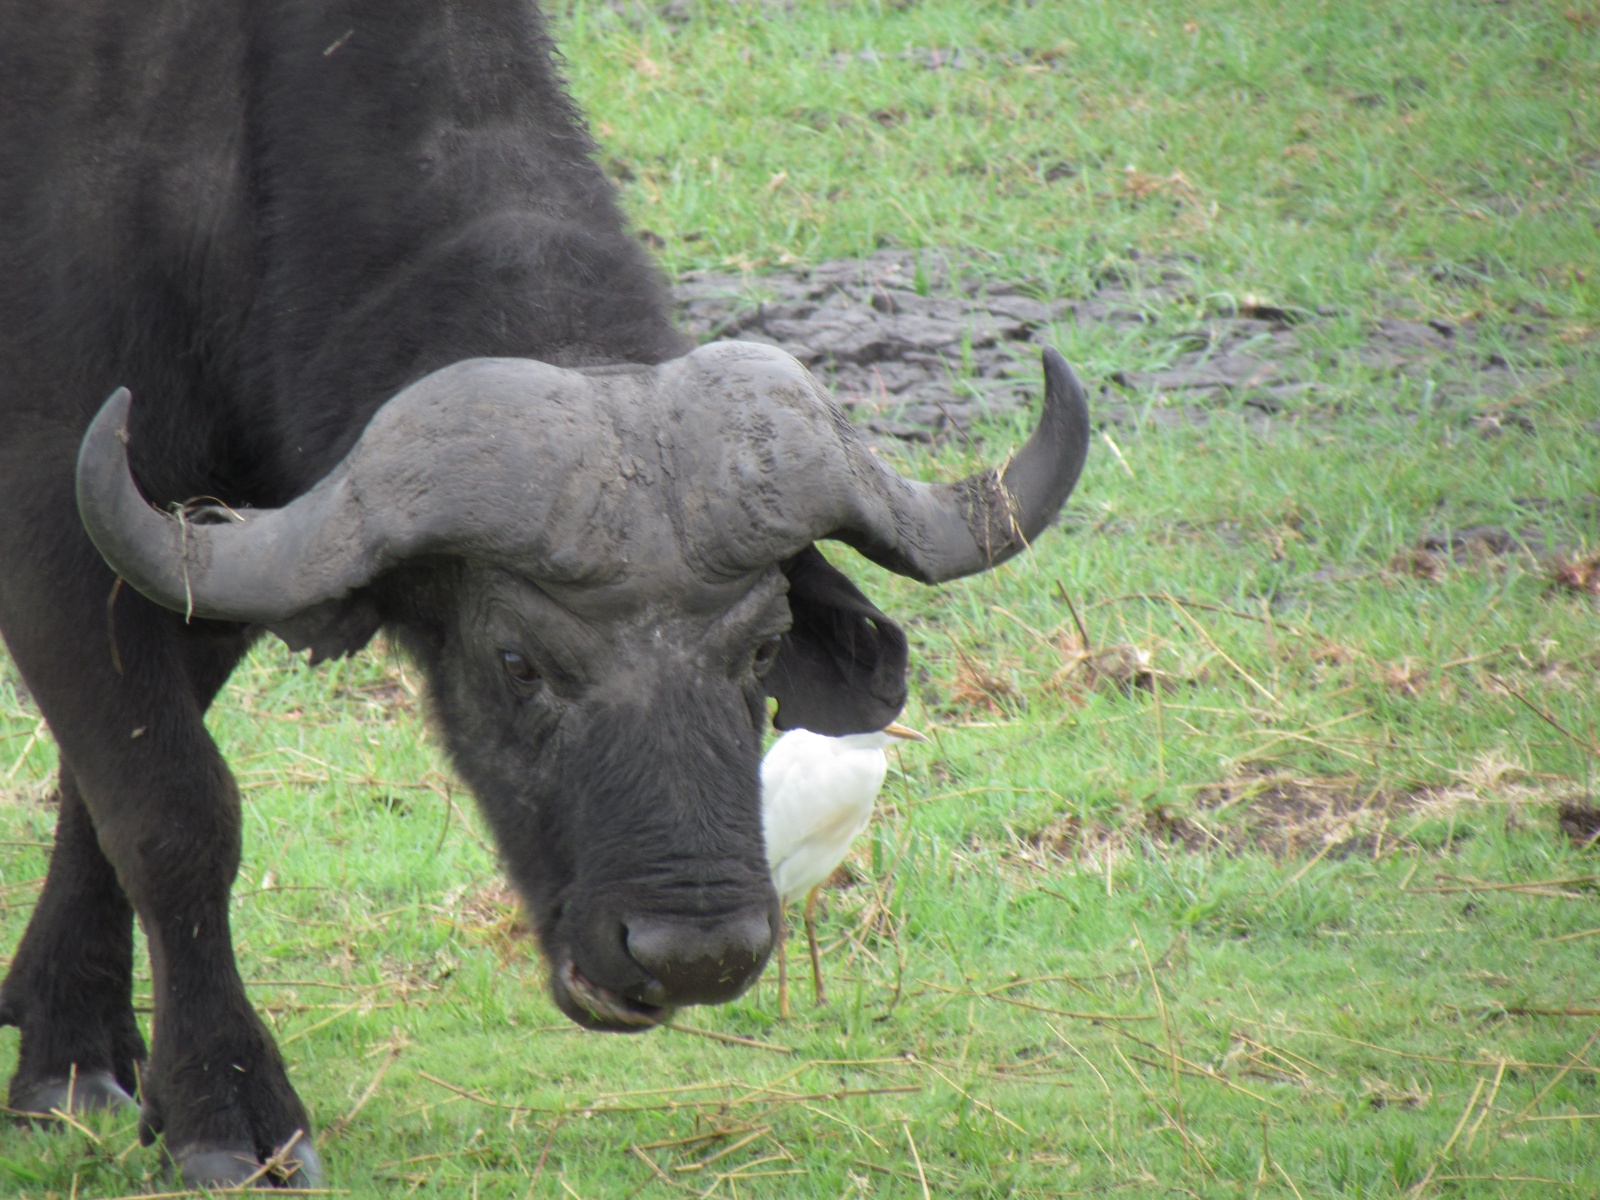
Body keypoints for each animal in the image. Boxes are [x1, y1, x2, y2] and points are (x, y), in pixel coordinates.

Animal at [0, 0, 1089, 1187]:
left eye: (762, 649)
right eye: (515, 661)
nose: (693, 953)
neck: (231, 165)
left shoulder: (217, 545)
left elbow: (104, 795)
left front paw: (67, 1046)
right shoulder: (54, 525)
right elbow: (172, 810)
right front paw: (222, 1104)